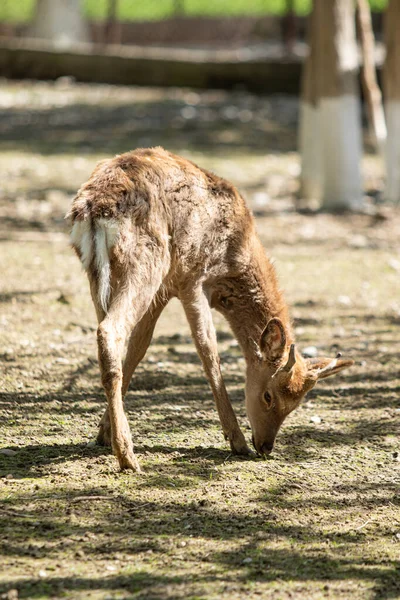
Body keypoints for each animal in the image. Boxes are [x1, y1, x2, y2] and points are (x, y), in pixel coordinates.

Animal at [68, 148, 354, 472]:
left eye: (297, 403)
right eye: (268, 395)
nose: (265, 447)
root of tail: (95, 210)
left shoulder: (165, 289)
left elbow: (139, 348)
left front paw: (102, 433)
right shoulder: (191, 276)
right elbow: (208, 350)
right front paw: (237, 441)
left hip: (100, 275)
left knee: (109, 337)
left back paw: (117, 441)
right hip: (146, 262)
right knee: (110, 330)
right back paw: (128, 456)